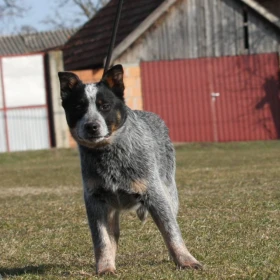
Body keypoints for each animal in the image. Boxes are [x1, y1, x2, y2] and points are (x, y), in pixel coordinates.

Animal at [58, 65, 201, 276]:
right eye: (78, 107)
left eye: (105, 106)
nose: (92, 126)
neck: (109, 155)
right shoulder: (95, 200)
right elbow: (102, 240)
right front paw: (105, 267)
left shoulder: (154, 194)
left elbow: (171, 232)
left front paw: (187, 261)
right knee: (113, 235)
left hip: (170, 192)